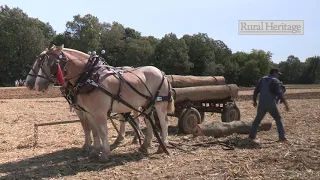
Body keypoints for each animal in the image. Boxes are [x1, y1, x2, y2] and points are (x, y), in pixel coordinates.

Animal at [26, 45, 174, 163]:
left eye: (52, 63)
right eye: (40, 63)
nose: (36, 85)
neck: (90, 77)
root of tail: (161, 72)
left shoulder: (99, 112)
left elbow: (102, 131)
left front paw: (104, 153)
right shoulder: (89, 112)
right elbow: (93, 130)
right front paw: (94, 150)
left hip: (159, 104)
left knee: (163, 122)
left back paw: (162, 146)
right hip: (146, 105)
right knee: (148, 123)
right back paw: (145, 145)